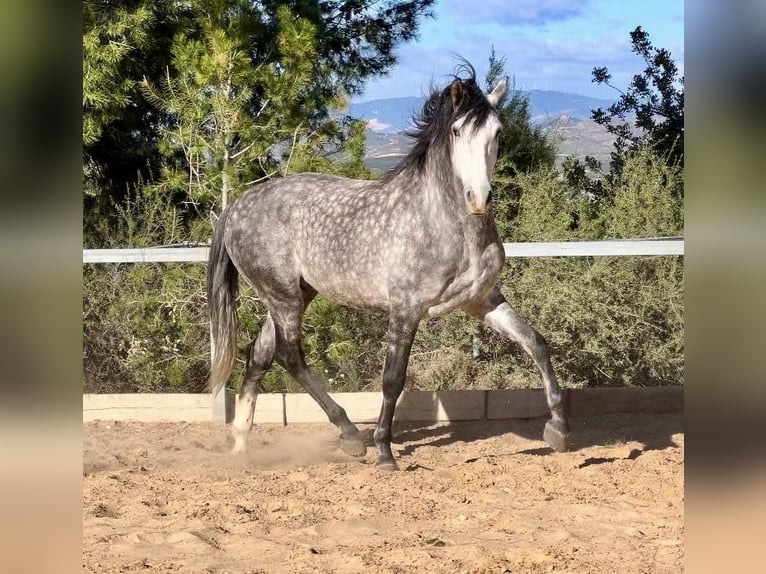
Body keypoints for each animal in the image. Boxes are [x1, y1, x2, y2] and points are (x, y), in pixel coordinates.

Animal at [208, 62, 568, 472]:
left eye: (498, 132)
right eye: (457, 131)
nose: (478, 199)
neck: (444, 224)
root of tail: (237, 206)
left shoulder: (482, 300)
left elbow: (536, 343)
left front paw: (558, 429)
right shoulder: (406, 308)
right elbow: (393, 378)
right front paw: (384, 452)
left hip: (295, 293)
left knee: (261, 353)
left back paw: (241, 445)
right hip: (283, 296)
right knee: (289, 355)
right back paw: (351, 437)